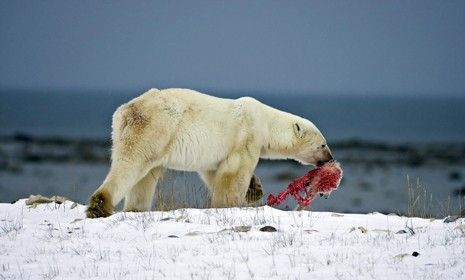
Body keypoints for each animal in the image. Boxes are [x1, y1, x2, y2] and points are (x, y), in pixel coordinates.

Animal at [85, 88, 332, 218]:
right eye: (323, 144)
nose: (330, 159)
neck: (266, 121)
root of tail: (125, 111)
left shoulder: (217, 152)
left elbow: (213, 172)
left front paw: (255, 189)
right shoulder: (246, 135)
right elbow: (235, 172)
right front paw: (231, 203)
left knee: (145, 177)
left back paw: (136, 209)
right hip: (155, 128)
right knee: (131, 165)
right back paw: (100, 206)